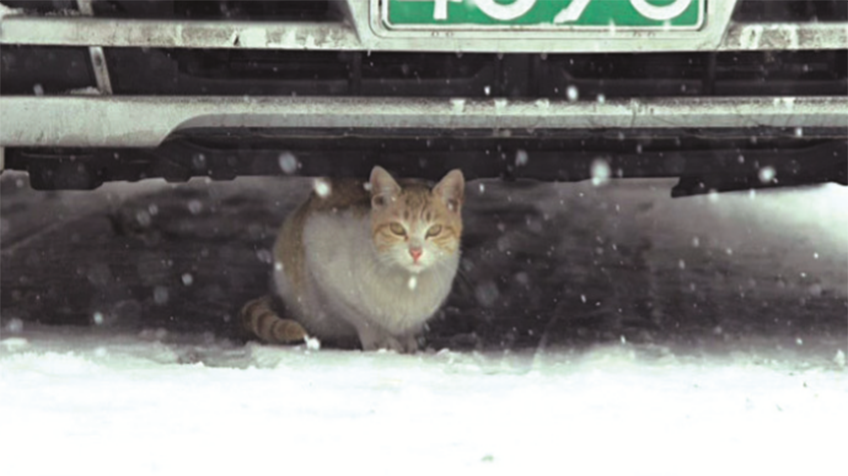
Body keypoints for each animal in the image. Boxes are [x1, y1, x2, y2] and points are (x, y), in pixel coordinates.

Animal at [240, 166, 465, 353]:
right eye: (397, 229)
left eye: (434, 230)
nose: (416, 251)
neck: (409, 283)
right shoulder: (319, 254)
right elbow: (360, 317)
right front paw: (380, 340)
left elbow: (410, 327)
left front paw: (408, 341)